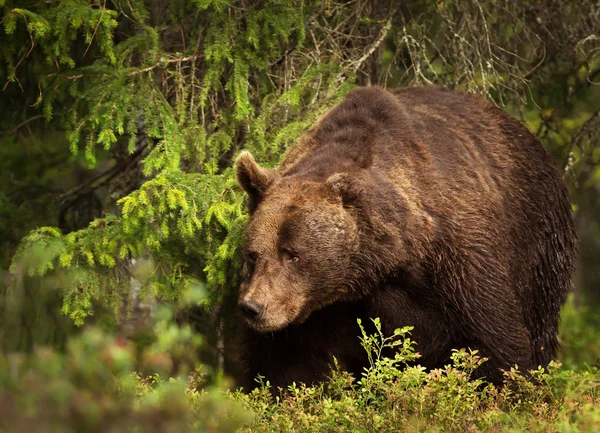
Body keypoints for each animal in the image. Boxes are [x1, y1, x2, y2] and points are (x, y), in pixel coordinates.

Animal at [233, 86, 576, 390]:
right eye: (253, 254)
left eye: (293, 254)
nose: (253, 307)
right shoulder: (315, 314)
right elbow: (285, 365)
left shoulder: (460, 261)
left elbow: (494, 343)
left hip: (540, 246)